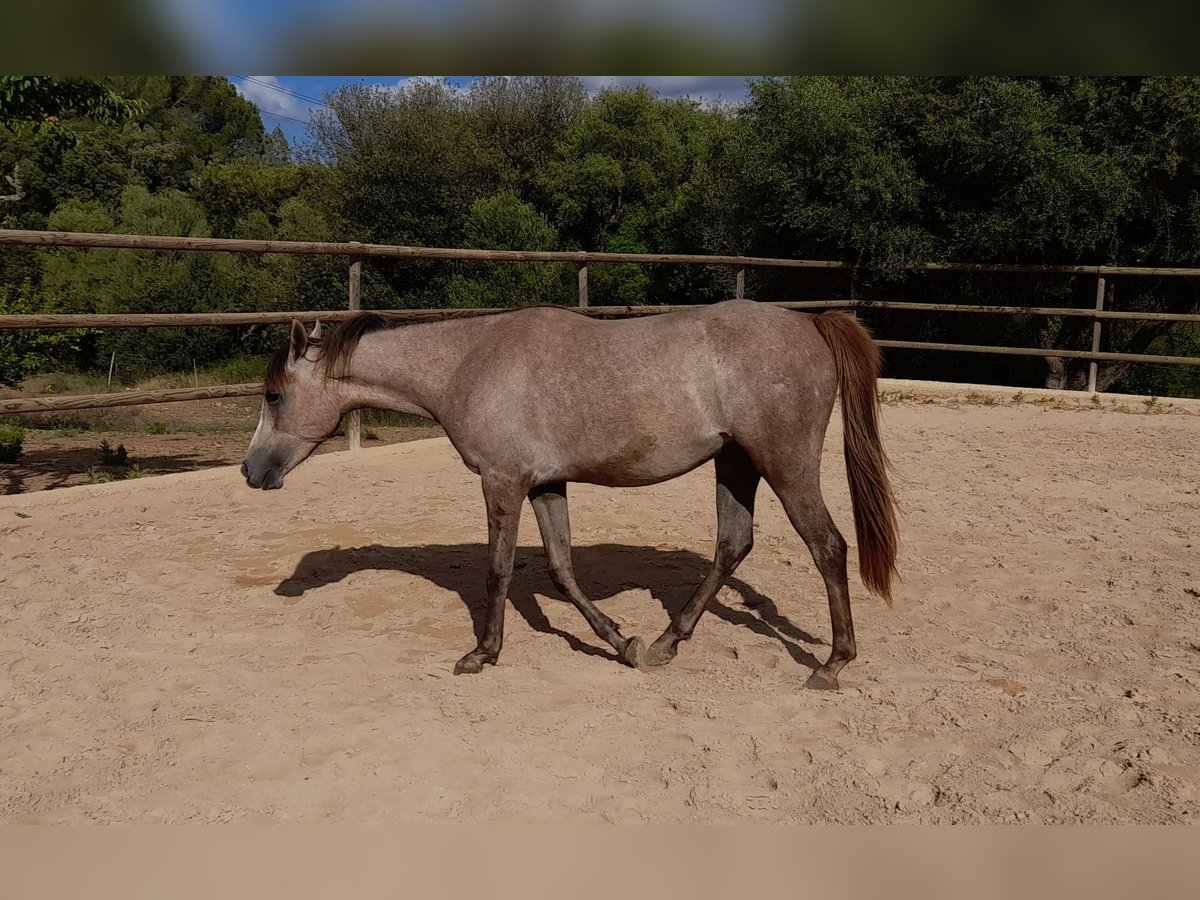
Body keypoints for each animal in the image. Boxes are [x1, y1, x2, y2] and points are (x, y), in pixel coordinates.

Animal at [243, 297, 897, 691]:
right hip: (736, 464)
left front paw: (482, 654)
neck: (468, 363)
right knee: (732, 545)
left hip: (784, 465)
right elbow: (560, 569)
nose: (251, 472)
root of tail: (809, 322)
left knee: (828, 547)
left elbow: (499, 570)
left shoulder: (503, 482)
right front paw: (623, 643)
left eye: (274, 395)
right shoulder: (545, 485)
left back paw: (832, 665)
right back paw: (665, 644)